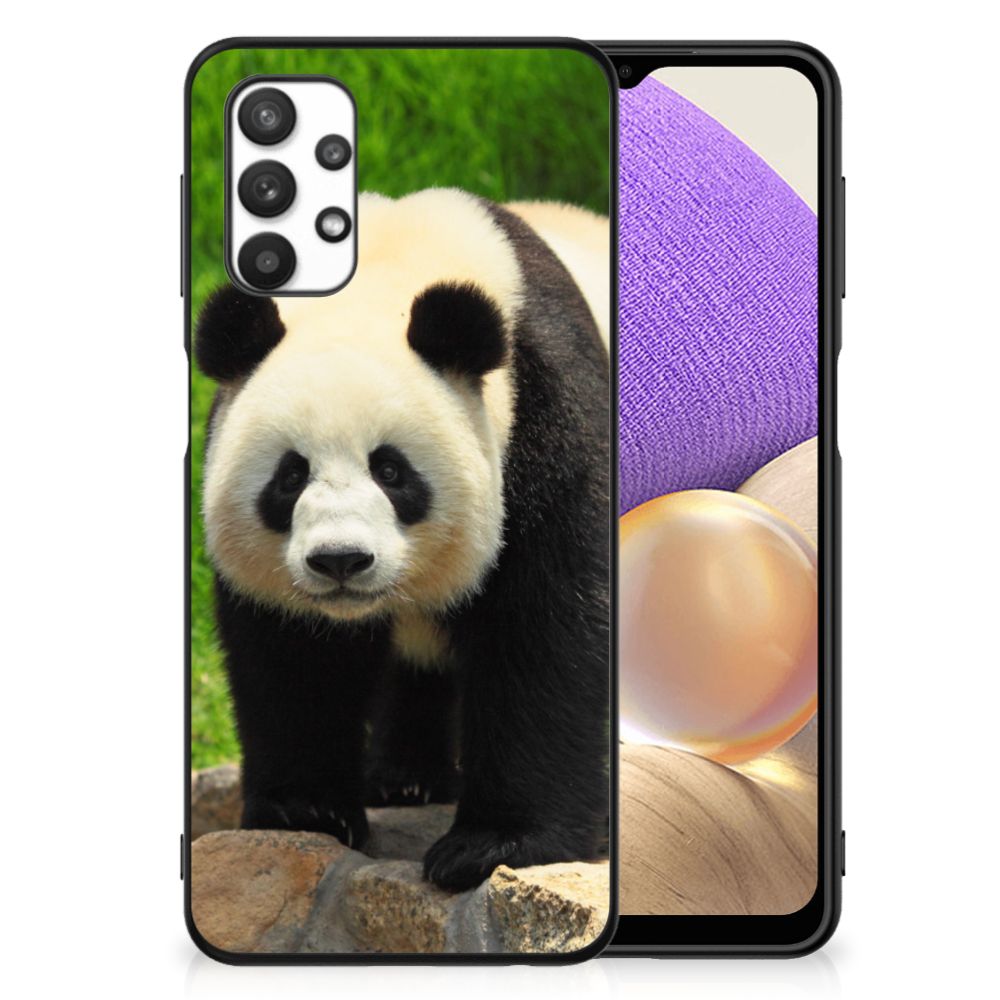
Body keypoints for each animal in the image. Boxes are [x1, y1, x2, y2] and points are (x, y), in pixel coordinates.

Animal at [195, 188, 610, 891]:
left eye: (390, 471)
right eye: (290, 476)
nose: (340, 561)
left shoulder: (548, 418)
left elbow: (547, 629)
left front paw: (493, 844)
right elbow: (292, 656)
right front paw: (307, 811)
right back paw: (406, 780)